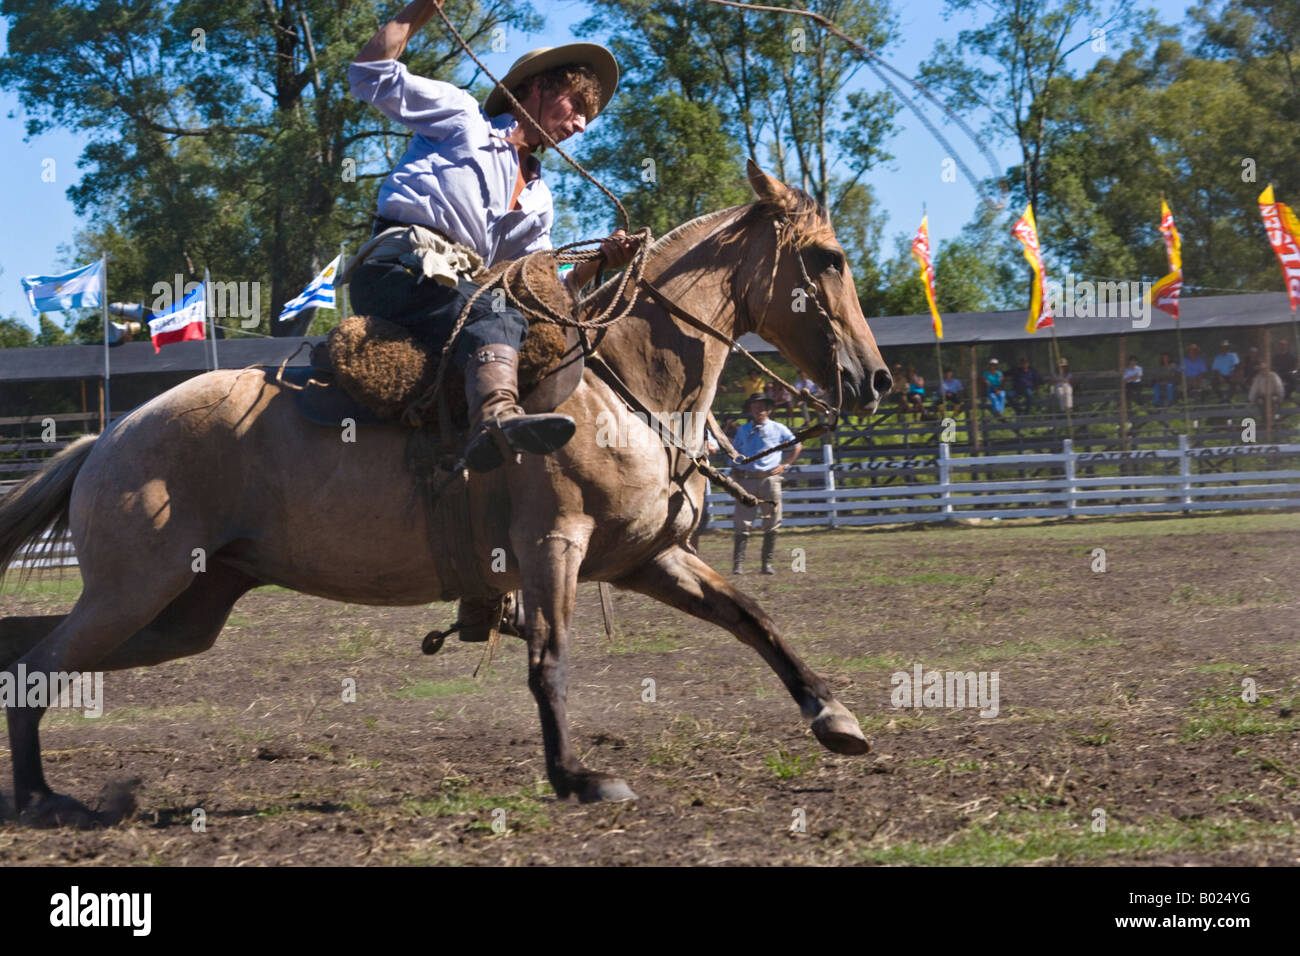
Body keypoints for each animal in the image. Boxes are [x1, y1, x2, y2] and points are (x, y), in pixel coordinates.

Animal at [0, 160, 891, 825]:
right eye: (827, 259)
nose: (875, 379)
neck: (623, 387)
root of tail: (108, 437)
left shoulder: (648, 558)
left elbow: (752, 617)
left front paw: (834, 718)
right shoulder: (552, 546)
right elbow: (549, 660)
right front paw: (577, 776)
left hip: (184, 607)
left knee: (32, 653)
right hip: (136, 588)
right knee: (39, 664)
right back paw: (45, 799)